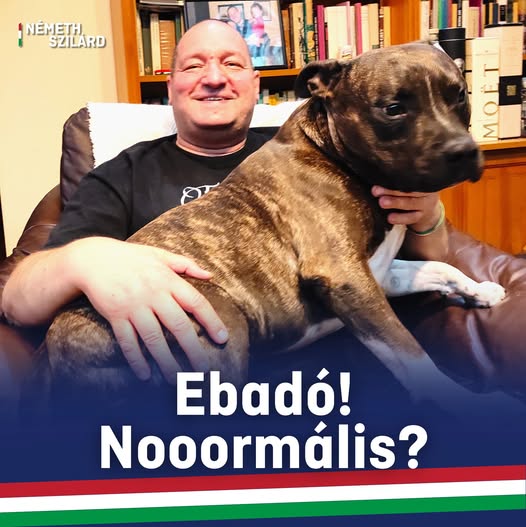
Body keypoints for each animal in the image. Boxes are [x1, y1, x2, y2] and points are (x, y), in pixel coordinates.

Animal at [43, 43, 510, 411]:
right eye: (393, 109)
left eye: (459, 95)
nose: (462, 151)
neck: (334, 152)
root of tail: (58, 350)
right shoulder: (346, 277)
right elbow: (413, 355)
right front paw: (469, 404)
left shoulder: (375, 275)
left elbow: (440, 269)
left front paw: (482, 290)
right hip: (219, 328)